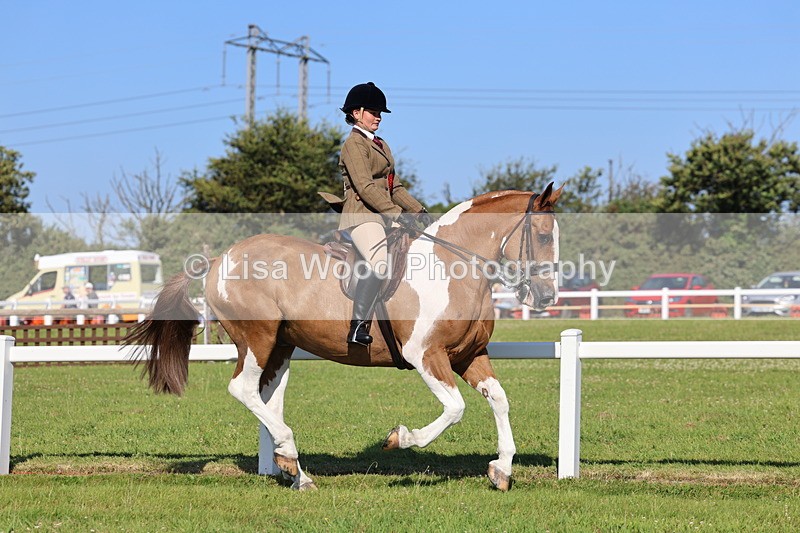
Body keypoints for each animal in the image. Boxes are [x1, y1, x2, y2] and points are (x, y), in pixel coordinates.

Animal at [125, 183, 564, 491]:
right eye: (543, 236)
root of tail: (221, 258)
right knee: (243, 390)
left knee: (268, 398)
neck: (451, 267)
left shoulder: (469, 355)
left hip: (281, 346)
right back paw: (290, 454)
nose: (546, 297)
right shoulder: (426, 355)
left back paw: (293, 468)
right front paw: (399, 438)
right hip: (257, 339)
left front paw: (501, 469)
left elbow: (499, 400)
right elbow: (455, 409)